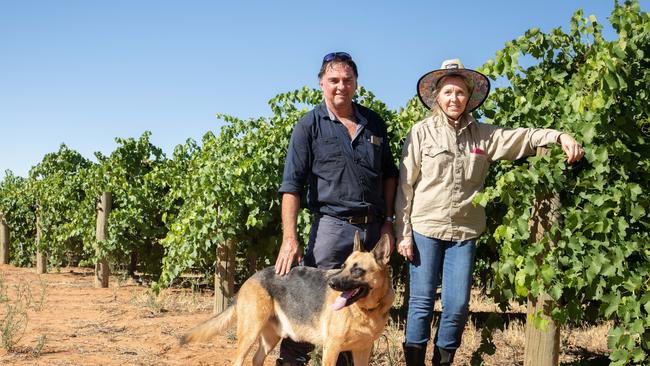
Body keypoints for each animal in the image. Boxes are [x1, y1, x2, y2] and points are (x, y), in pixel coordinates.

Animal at [180, 233, 392, 364]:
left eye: (357, 270)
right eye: (343, 266)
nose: (331, 283)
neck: (365, 311)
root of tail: (252, 277)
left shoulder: (362, 351)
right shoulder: (331, 349)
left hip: (270, 338)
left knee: (257, 359)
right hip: (250, 333)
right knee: (239, 360)